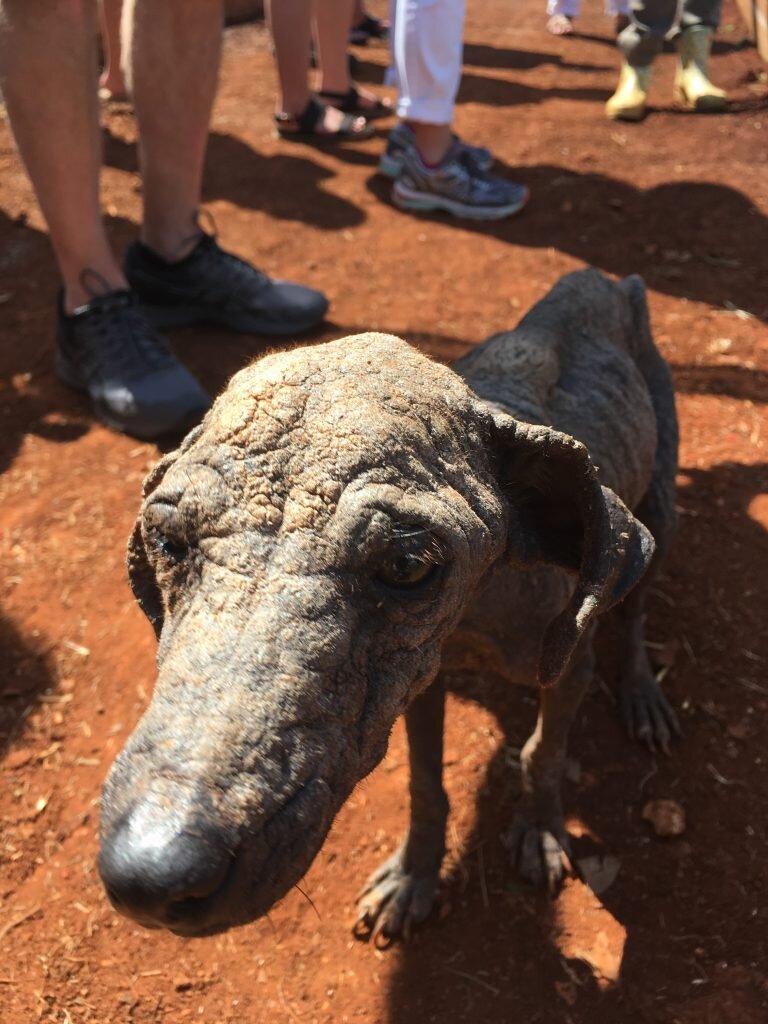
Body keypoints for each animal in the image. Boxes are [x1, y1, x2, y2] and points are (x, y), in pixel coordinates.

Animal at [97, 268, 679, 937]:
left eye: (408, 565)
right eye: (166, 540)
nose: (149, 872)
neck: (478, 613)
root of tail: (606, 278)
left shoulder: (568, 669)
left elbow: (544, 753)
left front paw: (539, 828)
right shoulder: (421, 687)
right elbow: (426, 784)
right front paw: (414, 875)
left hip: (661, 509)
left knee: (635, 612)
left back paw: (642, 692)